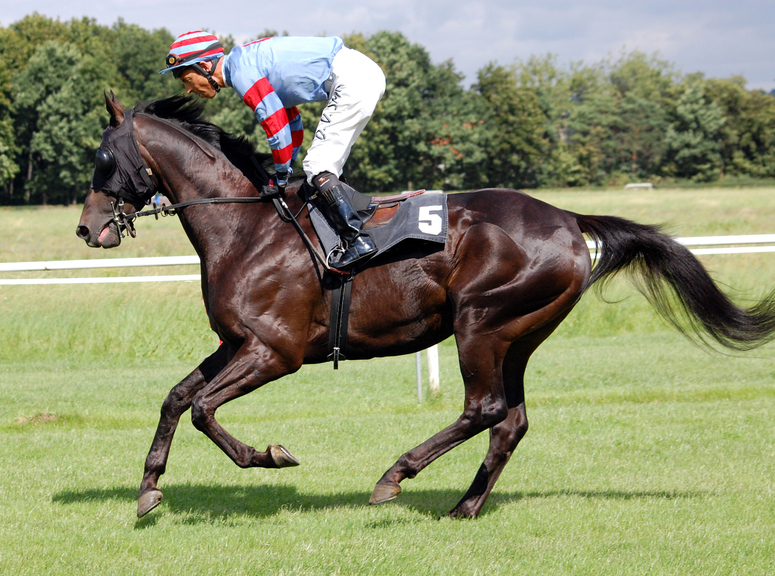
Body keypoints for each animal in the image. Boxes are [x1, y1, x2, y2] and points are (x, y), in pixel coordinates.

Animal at [74, 93, 775, 516]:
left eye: (104, 157)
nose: (86, 229)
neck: (246, 229)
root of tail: (569, 219)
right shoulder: (236, 342)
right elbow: (176, 398)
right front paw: (148, 489)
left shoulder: (275, 351)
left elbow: (203, 409)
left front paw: (268, 456)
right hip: (517, 334)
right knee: (510, 419)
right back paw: (465, 505)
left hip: (481, 323)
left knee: (484, 408)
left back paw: (396, 474)